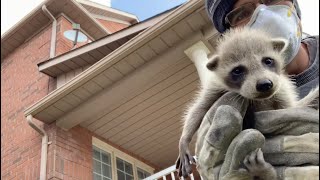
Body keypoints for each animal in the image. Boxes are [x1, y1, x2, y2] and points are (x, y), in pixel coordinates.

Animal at [176, 27, 318, 179]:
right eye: (237, 70)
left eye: (268, 61)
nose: (264, 84)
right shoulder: (216, 87)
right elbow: (199, 109)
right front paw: (184, 139)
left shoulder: (281, 91)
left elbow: (289, 107)